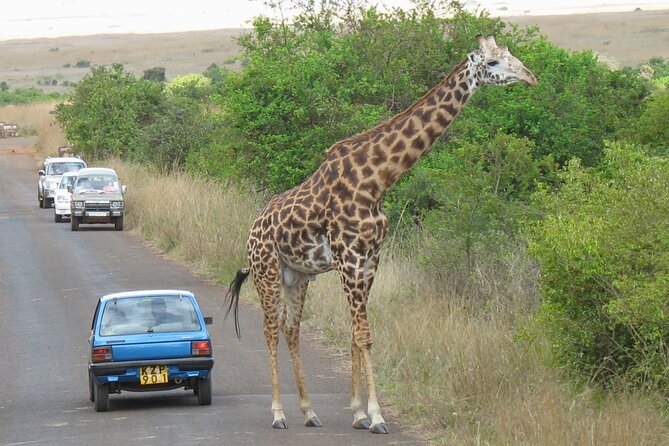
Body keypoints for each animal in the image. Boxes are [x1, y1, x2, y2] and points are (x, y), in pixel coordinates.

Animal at [224, 34, 537, 433]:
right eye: (494, 63)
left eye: (512, 55)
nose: (530, 77)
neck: (378, 182)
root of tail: (253, 228)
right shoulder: (349, 258)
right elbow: (364, 335)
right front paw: (376, 416)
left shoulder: (371, 259)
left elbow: (355, 334)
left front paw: (357, 412)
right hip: (267, 271)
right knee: (269, 329)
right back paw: (278, 414)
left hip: (299, 275)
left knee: (291, 328)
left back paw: (309, 411)